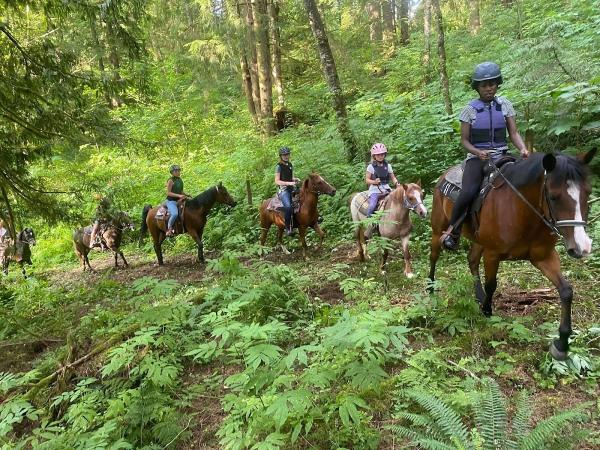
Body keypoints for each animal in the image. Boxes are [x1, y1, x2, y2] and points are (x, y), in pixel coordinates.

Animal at [432, 149, 596, 360]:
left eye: (588, 192)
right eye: (553, 196)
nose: (581, 247)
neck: (523, 210)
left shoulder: (544, 257)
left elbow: (566, 291)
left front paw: (561, 343)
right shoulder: (492, 254)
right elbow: (492, 284)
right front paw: (487, 310)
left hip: (478, 240)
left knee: (472, 260)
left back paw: (479, 295)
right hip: (438, 229)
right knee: (433, 257)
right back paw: (430, 288)